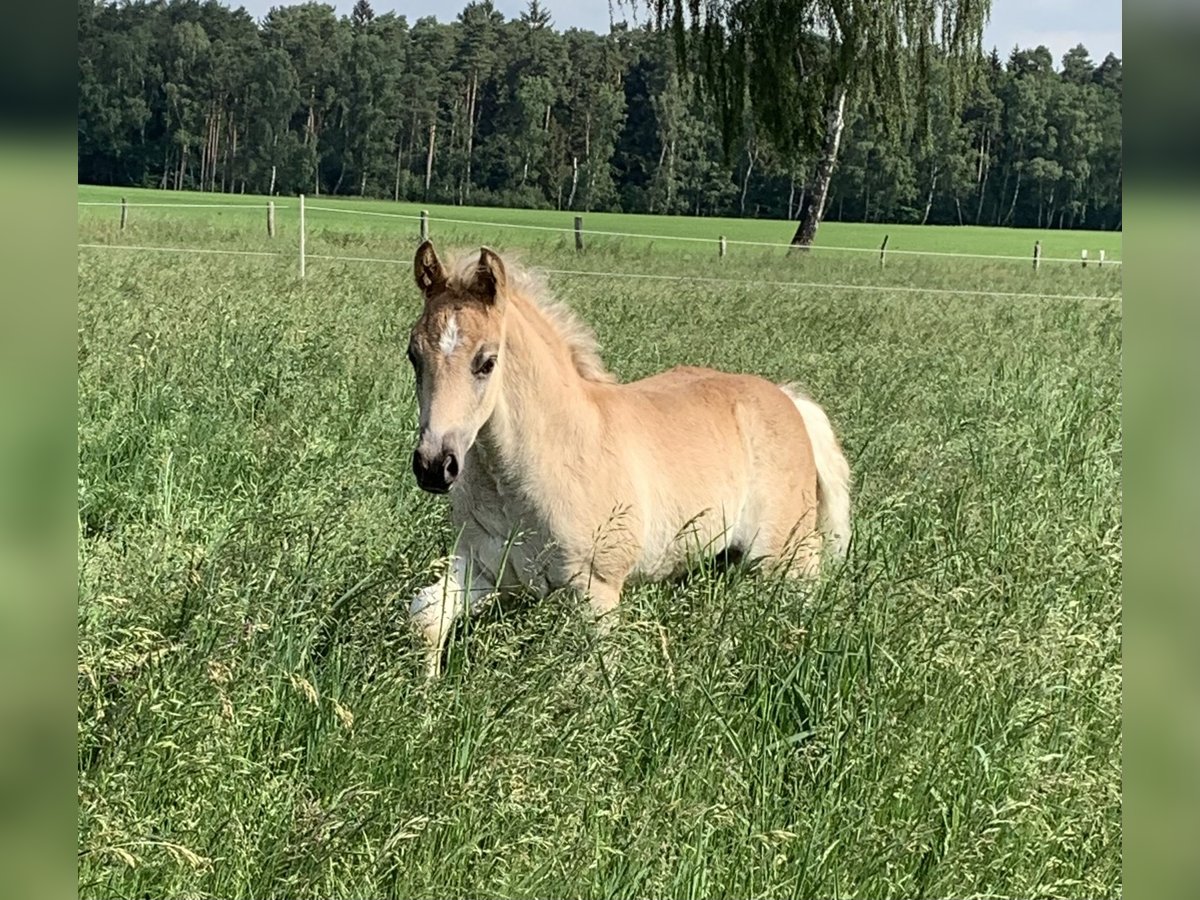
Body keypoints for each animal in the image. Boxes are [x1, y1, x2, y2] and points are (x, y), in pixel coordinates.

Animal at [405, 240, 854, 676]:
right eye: (413, 355)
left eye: (487, 361)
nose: (434, 466)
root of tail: (790, 400)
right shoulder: (484, 567)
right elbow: (426, 616)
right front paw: (428, 692)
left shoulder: (597, 589)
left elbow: (595, 670)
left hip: (785, 555)